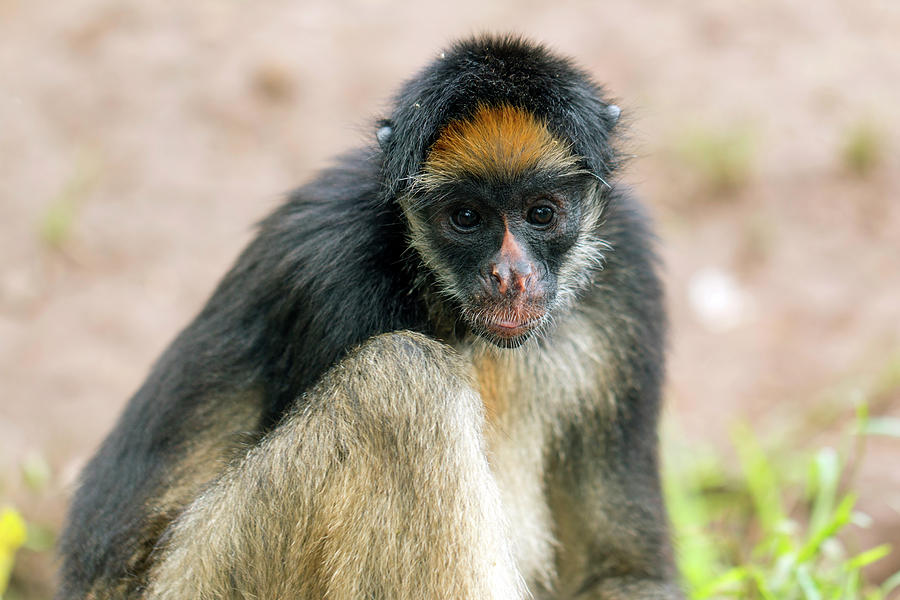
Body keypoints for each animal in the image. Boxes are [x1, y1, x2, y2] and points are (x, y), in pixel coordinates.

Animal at [56, 35, 684, 596]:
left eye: (542, 213)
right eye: (466, 217)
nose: (511, 274)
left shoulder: (628, 272)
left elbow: (623, 570)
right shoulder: (332, 269)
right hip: (203, 572)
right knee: (403, 379)